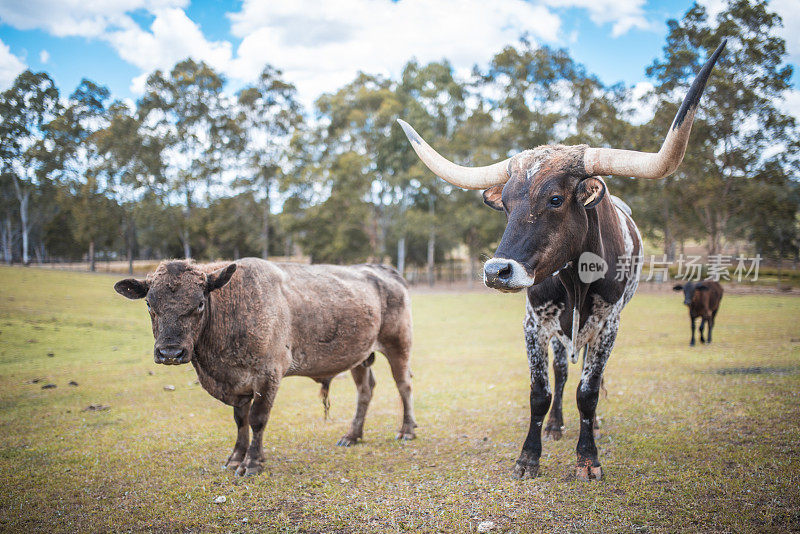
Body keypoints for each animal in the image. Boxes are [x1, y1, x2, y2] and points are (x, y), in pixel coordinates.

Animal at [115, 258, 416, 478]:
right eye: (149, 303)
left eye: (199, 303)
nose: (170, 352)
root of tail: (382, 268)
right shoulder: (238, 384)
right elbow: (240, 420)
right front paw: (235, 457)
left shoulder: (268, 375)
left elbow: (257, 419)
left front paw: (252, 463)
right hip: (359, 355)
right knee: (365, 391)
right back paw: (352, 435)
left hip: (398, 344)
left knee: (404, 385)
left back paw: (407, 430)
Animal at [400, 42, 724, 482]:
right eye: (505, 203)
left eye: (555, 199)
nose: (496, 272)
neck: (574, 278)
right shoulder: (534, 321)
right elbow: (540, 391)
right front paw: (528, 457)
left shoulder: (608, 322)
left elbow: (589, 391)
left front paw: (588, 458)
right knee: (561, 368)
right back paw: (555, 424)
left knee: (585, 372)